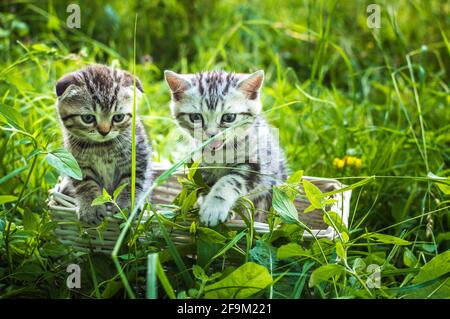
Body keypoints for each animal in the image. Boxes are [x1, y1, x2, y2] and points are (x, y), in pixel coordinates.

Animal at [54, 65, 153, 225]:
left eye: (118, 117)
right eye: (88, 118)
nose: (104, 131)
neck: (102, 147)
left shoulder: (138, 157)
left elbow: (131, 182)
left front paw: (126, 206)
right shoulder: (78, 164)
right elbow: (85, 183)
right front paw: (90, 207)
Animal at [163, 70, 286, 228]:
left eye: (228, 117)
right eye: (195, 117)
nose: (211, 134)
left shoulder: (256, 164)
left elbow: (231, 181)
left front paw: (214, 207)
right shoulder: (201, 168)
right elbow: (205, 187)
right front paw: (207, 205)